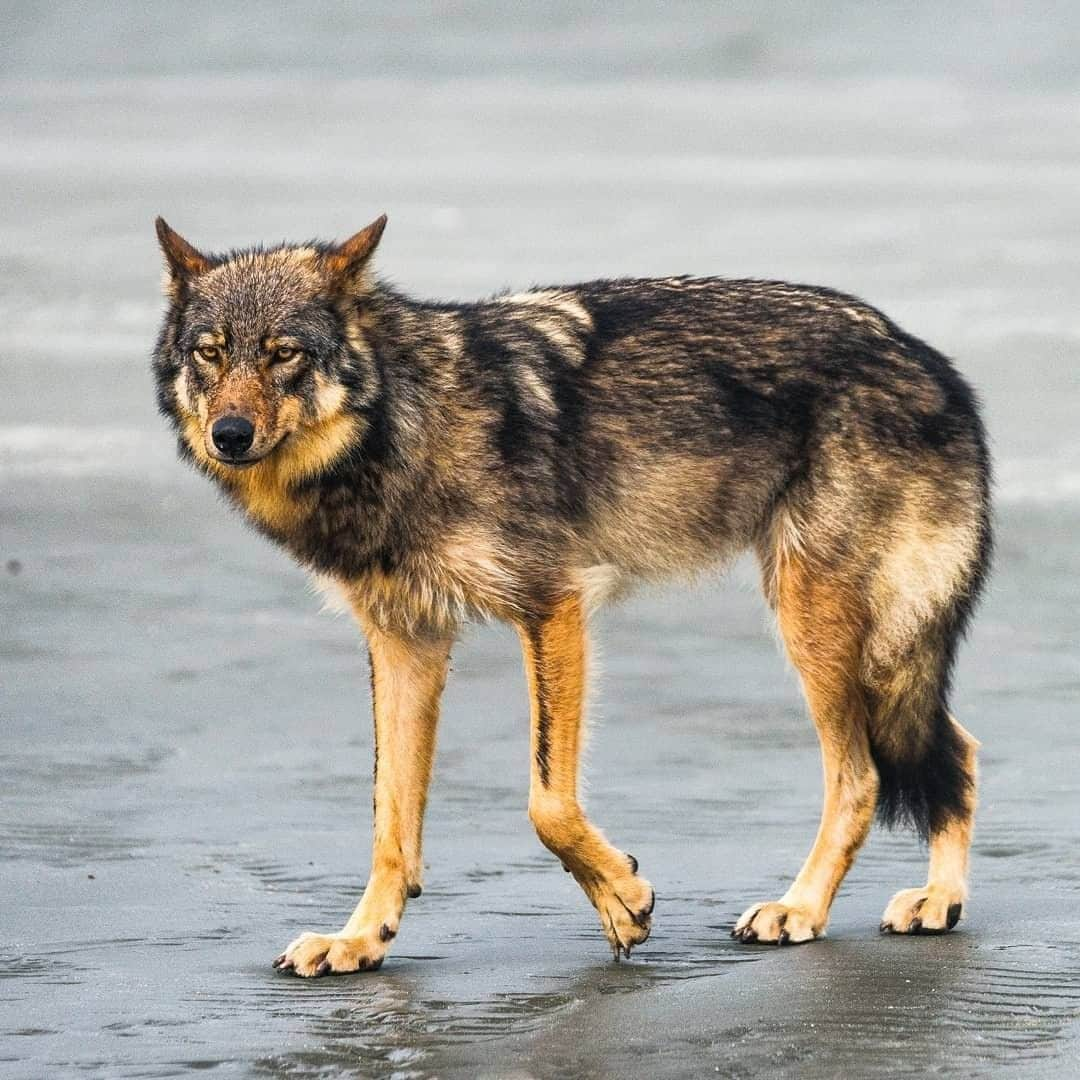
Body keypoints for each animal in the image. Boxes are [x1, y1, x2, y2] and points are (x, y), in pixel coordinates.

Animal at [154, 214, 993, 976]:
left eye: (284, 354)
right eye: (211, 353)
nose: (229, 434)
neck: (408, 423)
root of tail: (931, 362)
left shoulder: (550, 606)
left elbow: (547, 804)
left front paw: (623, 901)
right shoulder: (405, 639)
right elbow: (391, 823)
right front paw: (360, 939)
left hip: (822, 626)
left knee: (867, 776)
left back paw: (806, 909)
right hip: (868, 645)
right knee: (957, 747)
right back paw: (936, 900)